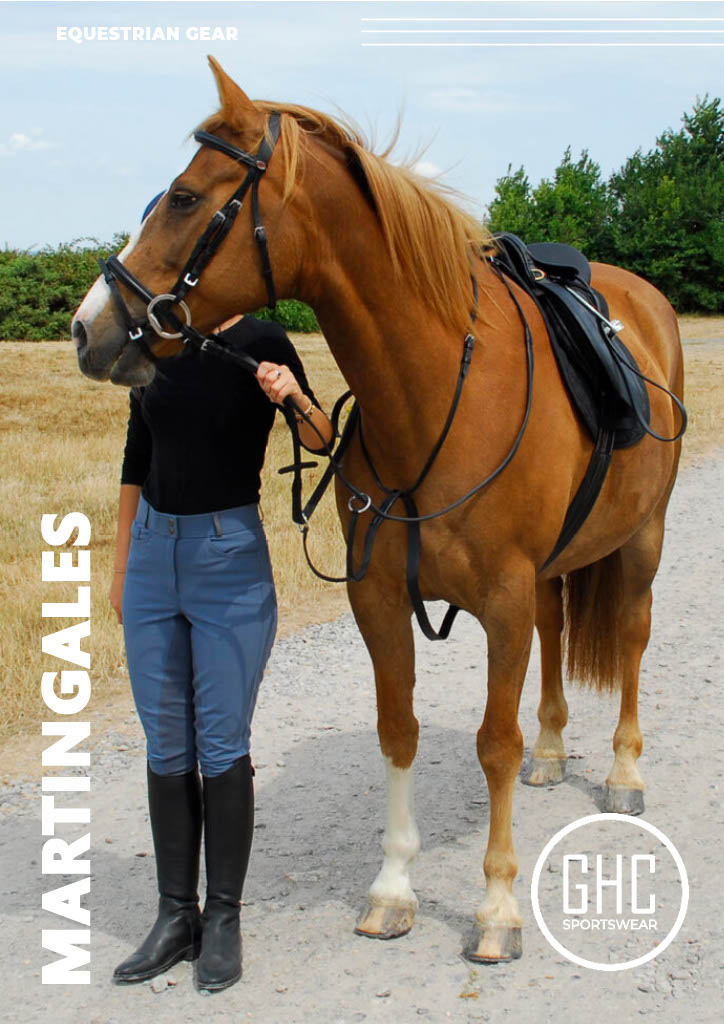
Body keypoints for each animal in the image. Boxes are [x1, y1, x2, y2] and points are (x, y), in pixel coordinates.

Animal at [73, 58, 684, 963]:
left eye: (183, 198)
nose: (89, 329)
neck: (435, 398)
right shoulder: (381, 598)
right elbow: (399, 729)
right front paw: (394, 888)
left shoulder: (501, 600)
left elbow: (491, 744)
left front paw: (496, 907)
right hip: (552, 572)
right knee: (556, 632)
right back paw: (552, 749)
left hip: (641, 542)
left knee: (633, 641)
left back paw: (623, 772)